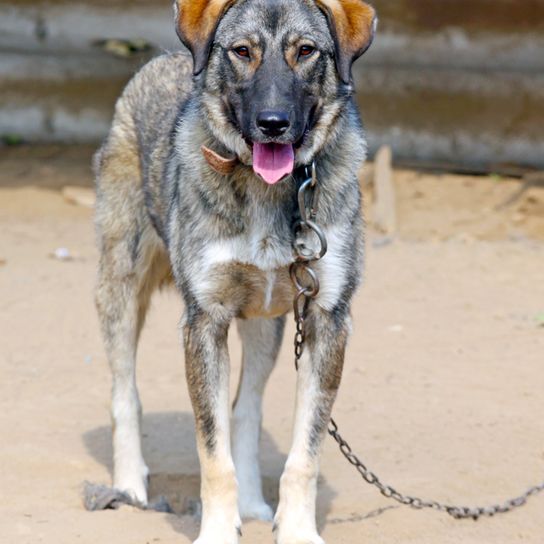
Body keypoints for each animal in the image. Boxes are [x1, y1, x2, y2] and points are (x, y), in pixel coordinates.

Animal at [93, 2, 376, 540]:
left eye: (306, 51)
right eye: (242, 52)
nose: (273, 123)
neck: (271, 192)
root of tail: (158, 61)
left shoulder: (328, 319)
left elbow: (303, 453)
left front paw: (297, 529)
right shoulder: (204, 320)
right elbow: (212, 451)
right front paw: (218, 531)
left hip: (270, 324)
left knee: (245, 409)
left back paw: (253, 503)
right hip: (119, 287)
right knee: (124, 392)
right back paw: (129, 486)